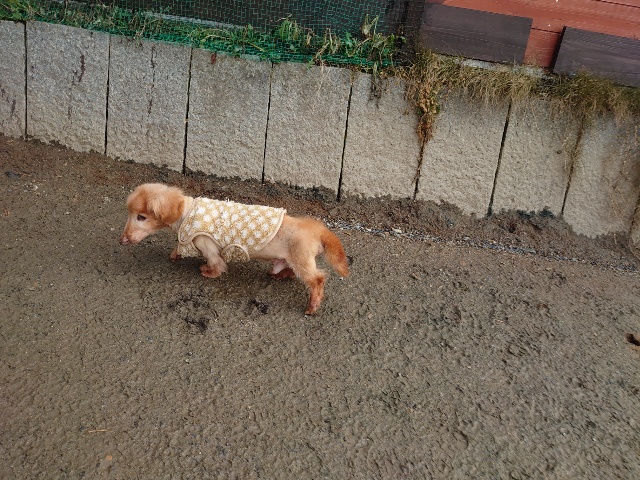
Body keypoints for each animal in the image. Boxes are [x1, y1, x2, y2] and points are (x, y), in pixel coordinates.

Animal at [120, 183, 349, 314]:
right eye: (130, 214)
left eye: (141, 217)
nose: (122, 240)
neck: (186, 212)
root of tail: (317, 230)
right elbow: (178, 246)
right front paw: (175, 255)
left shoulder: (206, 244)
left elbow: (216, 263)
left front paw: (208, 272)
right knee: (291, 272)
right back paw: (279, 275)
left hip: (302, 261)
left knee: (317, 279)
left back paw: (312, 306)